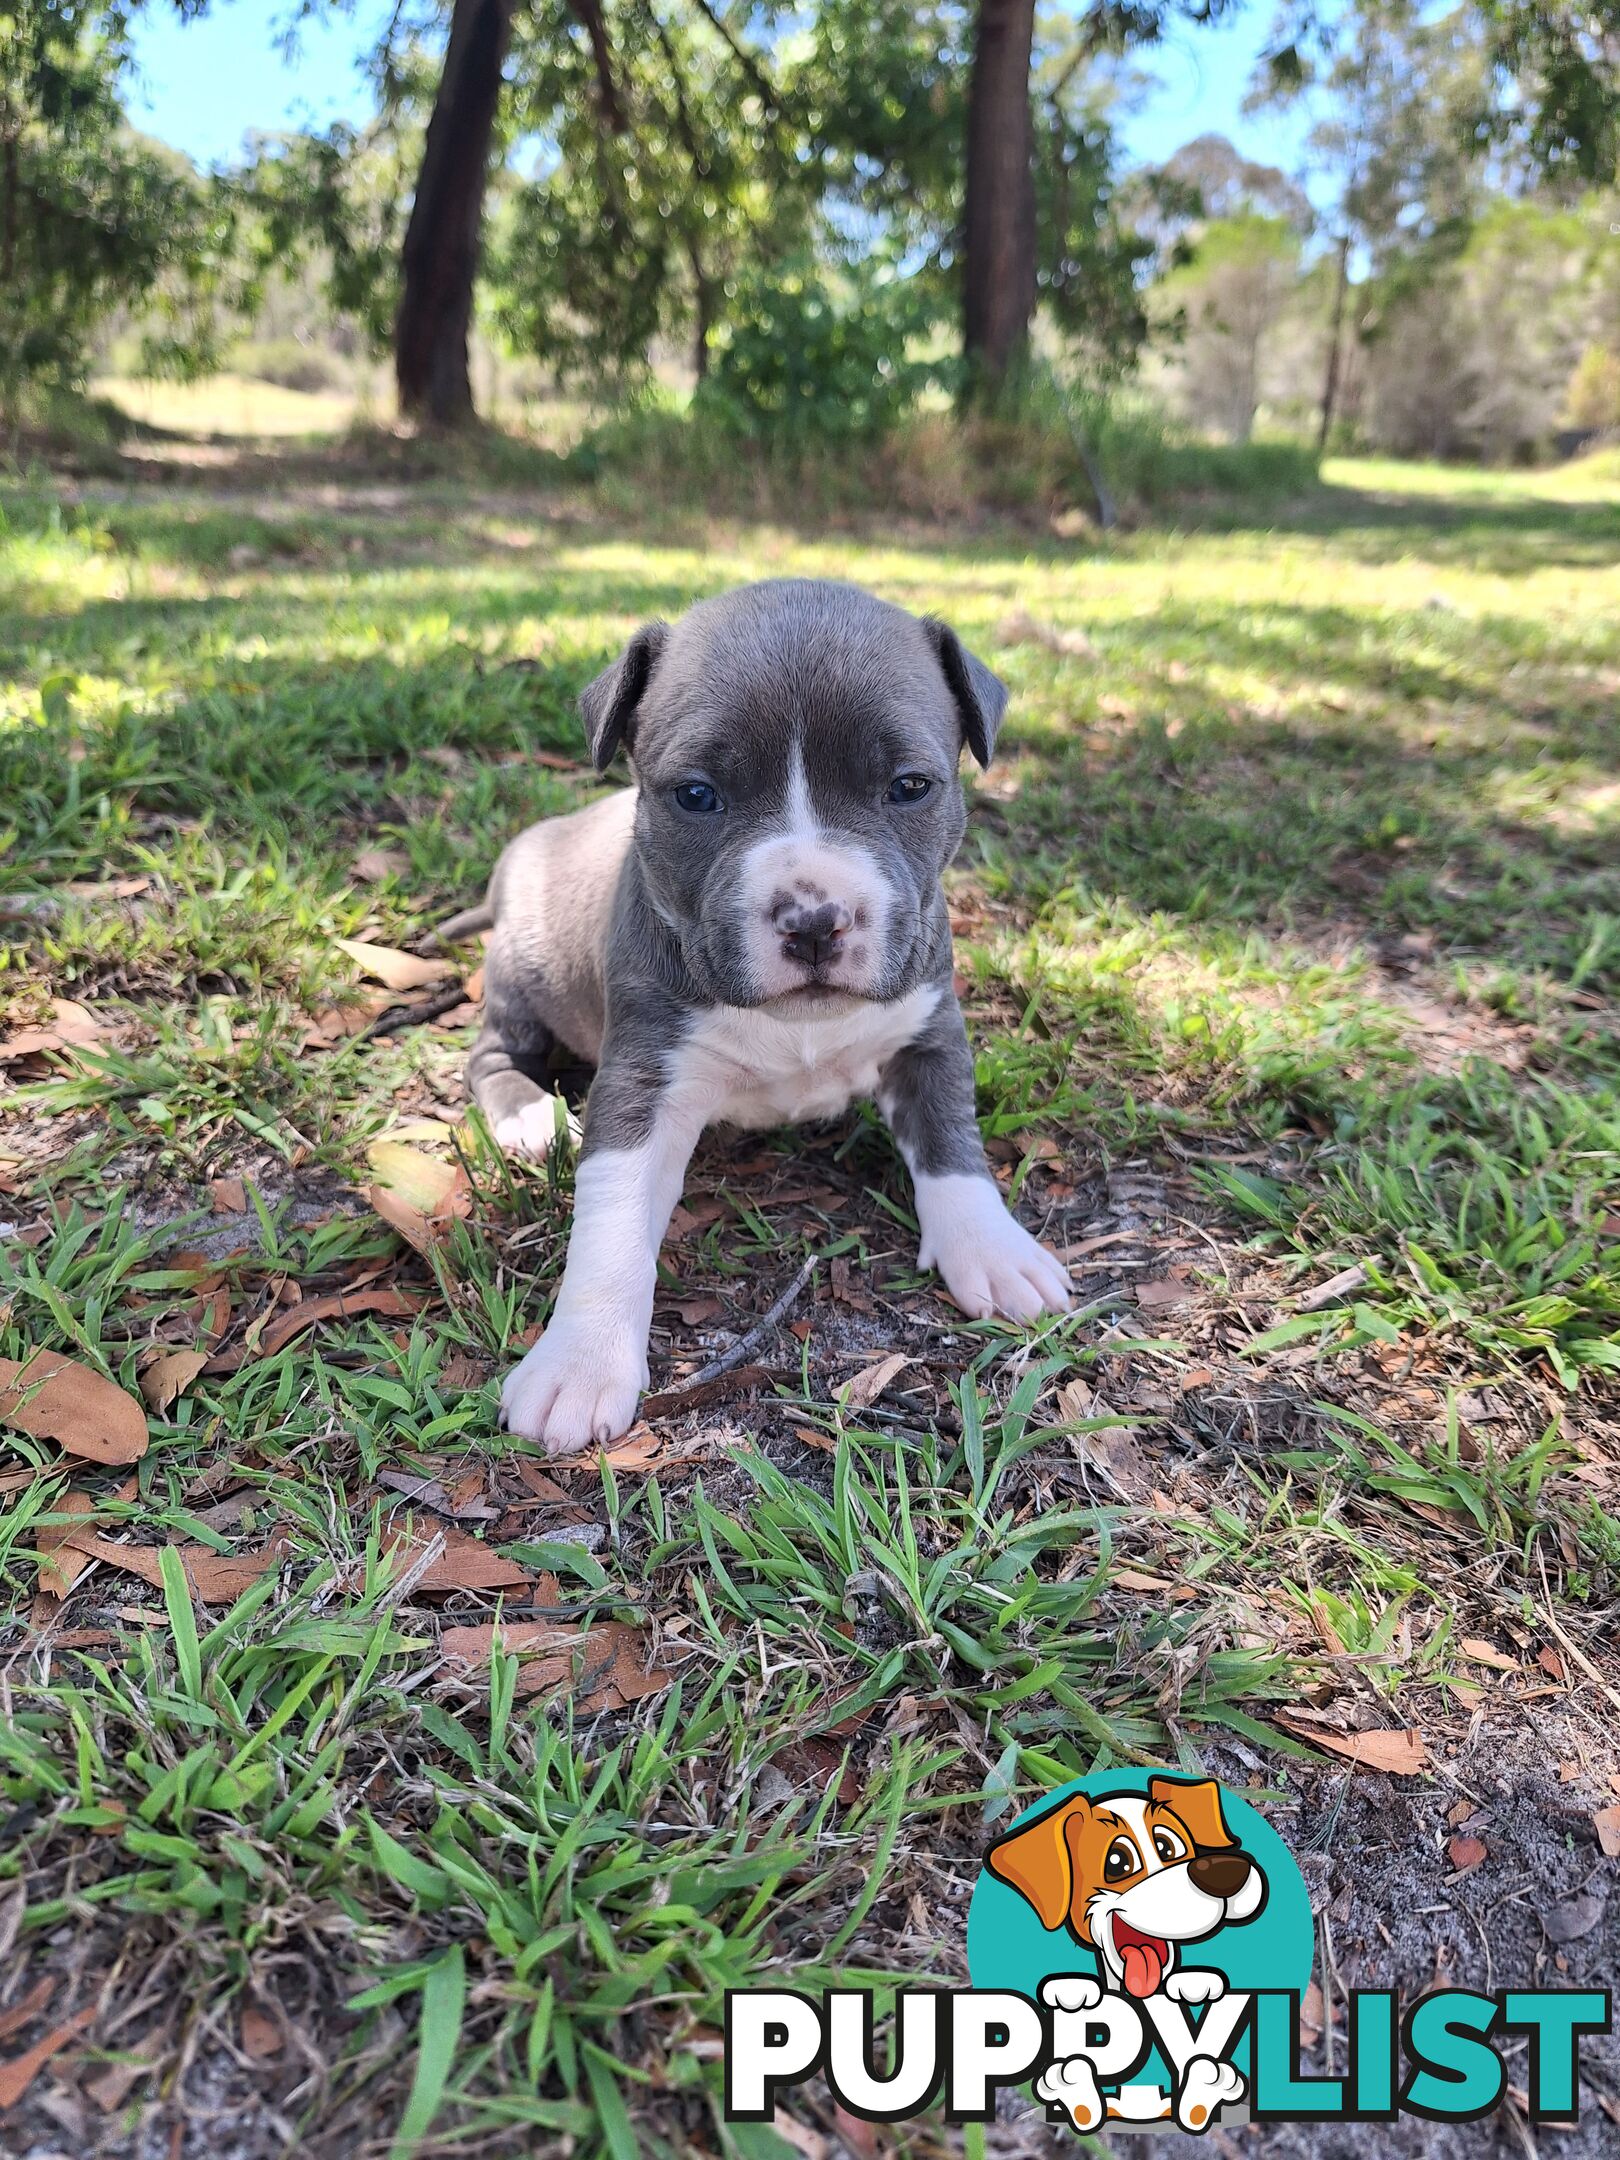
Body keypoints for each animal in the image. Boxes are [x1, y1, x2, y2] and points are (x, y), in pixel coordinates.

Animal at [462, 578, 1080, 1451]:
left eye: (910, 786)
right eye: (696, 796)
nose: (815, 920)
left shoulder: (928, 1035)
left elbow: (953, 1144)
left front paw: (992, 1249)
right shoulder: (645, 1080)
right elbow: (611, 1219)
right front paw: (579, 1362)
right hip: (523, 972)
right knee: (490, 1054)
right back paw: (529, 1117)